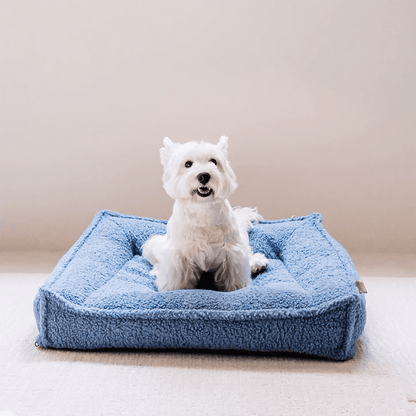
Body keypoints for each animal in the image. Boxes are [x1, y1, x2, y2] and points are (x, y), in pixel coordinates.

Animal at [142, 135, 270, 290]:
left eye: (214, 161)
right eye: (188, 164)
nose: (204, 176)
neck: (203, 210)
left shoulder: (232, 253)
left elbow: (234, 278)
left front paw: (237, 287)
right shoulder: (178, 255)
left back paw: (257, 263)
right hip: (151, 246)